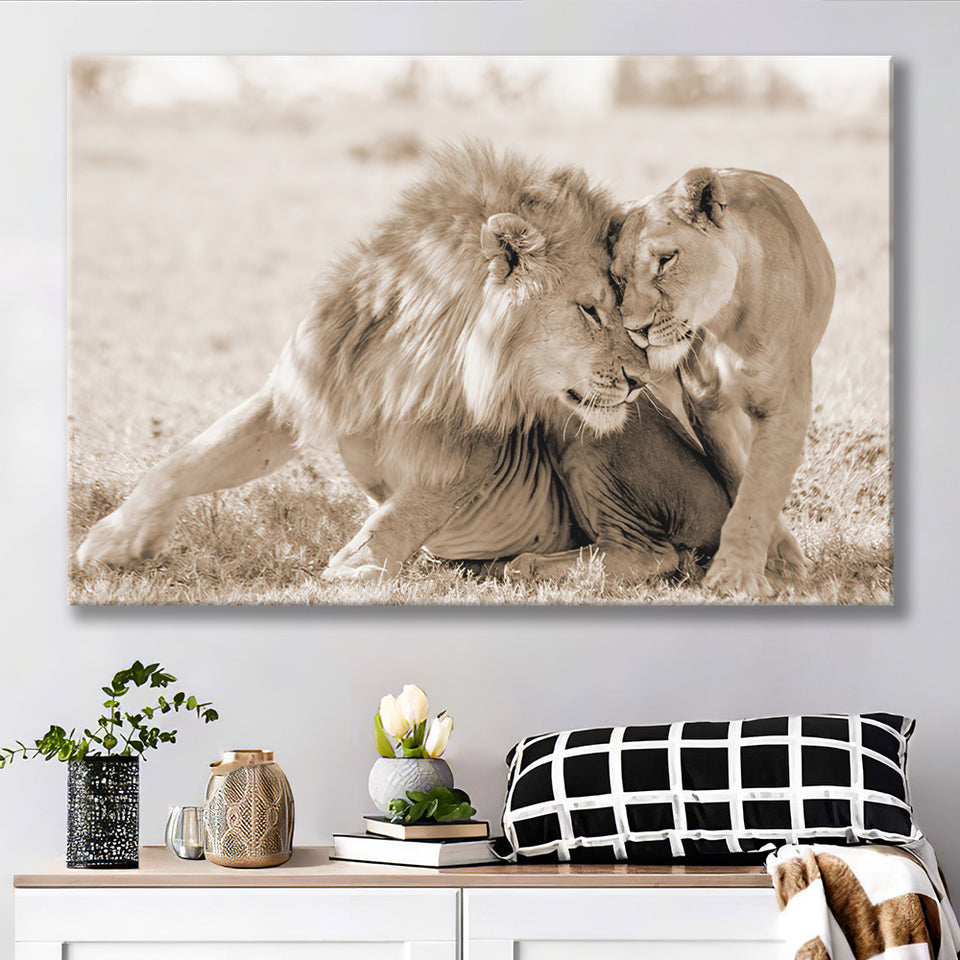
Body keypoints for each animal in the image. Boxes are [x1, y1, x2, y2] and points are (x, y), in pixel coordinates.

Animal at [76, 142, 730, 586]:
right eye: (591, 310)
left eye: (624, 308)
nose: (641, 380)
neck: (412, 355)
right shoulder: (301, 389)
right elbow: (189, 459)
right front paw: (114, 539)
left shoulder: (475, 452)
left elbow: (400, 514)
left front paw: (355, 565)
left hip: (586, 437)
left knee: (655, 552)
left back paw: (530, 563)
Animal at [608, 167, 836, 597]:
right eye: (618, 279)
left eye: (666, 260)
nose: (635, 330)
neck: (725, 321)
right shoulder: (705, 404)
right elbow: (740, 475)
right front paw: (766, 558)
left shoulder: (784, 404)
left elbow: (758, 489)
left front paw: (736, 574)